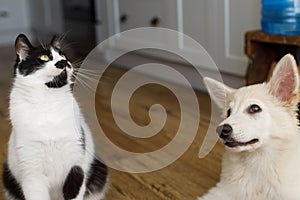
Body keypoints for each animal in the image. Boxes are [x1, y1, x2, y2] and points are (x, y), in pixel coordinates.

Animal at [2, 34, 108, 200]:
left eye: (63, 56)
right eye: (44, 57)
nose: (63, 62)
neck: (48, 102)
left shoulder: (75, 159)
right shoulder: (32, 172)